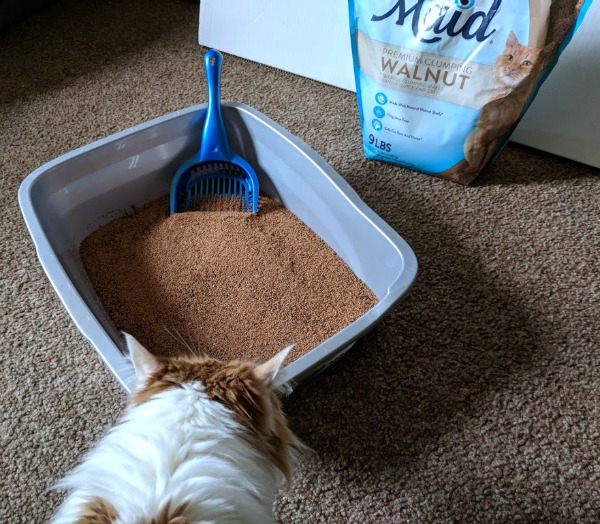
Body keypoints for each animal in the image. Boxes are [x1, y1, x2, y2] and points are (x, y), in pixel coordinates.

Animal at [434, 31, 556, 185]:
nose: (511, 68)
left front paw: (468, 171)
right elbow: (477, 156)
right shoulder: (483, 130)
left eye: (527, 63)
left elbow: (480, 158)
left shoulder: (493, 134)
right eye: (510, 57)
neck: (506, 98)